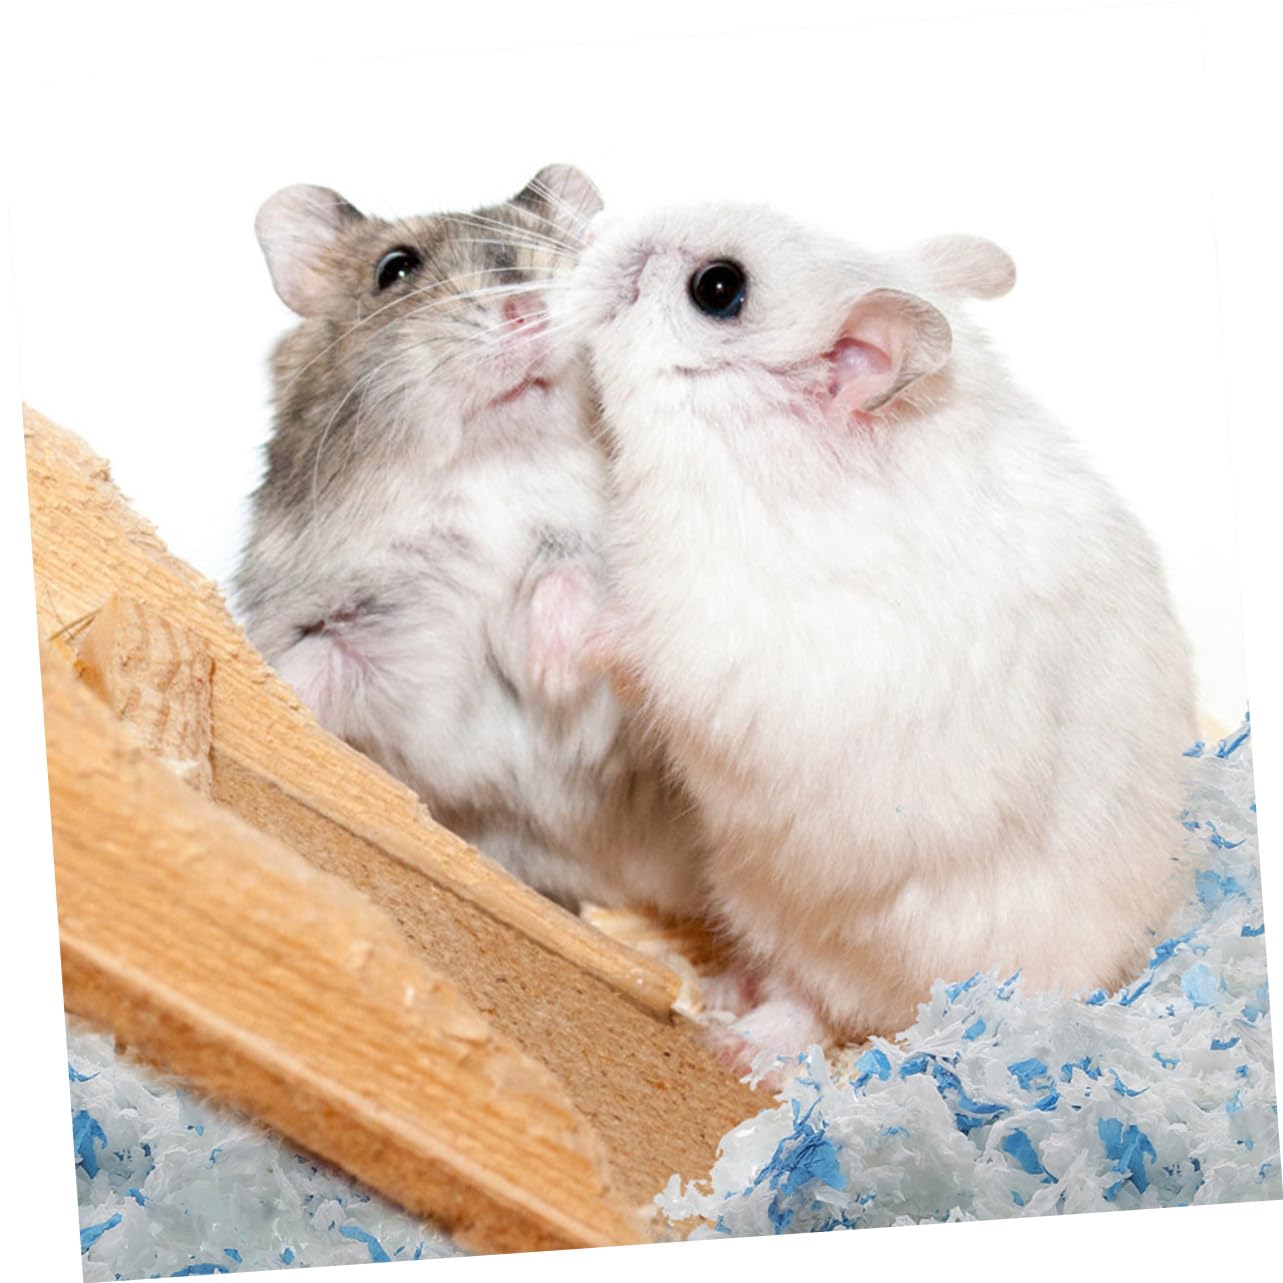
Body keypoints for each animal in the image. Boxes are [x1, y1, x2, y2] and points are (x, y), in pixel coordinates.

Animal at [235, 166, 703, 917]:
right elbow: (313, 666)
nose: (529, 309)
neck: (494, 471)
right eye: (395, 268)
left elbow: (573, 574)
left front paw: (550, 667)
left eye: (568, 253)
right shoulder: (344, 619)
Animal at [565, 202, 1196, 1059]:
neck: (750, 450)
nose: (590, 230)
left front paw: (554, 613)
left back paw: (739, 1043)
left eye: (717, 289)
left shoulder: (719, 640)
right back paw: (724, 989)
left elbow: (631, 639)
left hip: (838, 930)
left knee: (812, 1002)